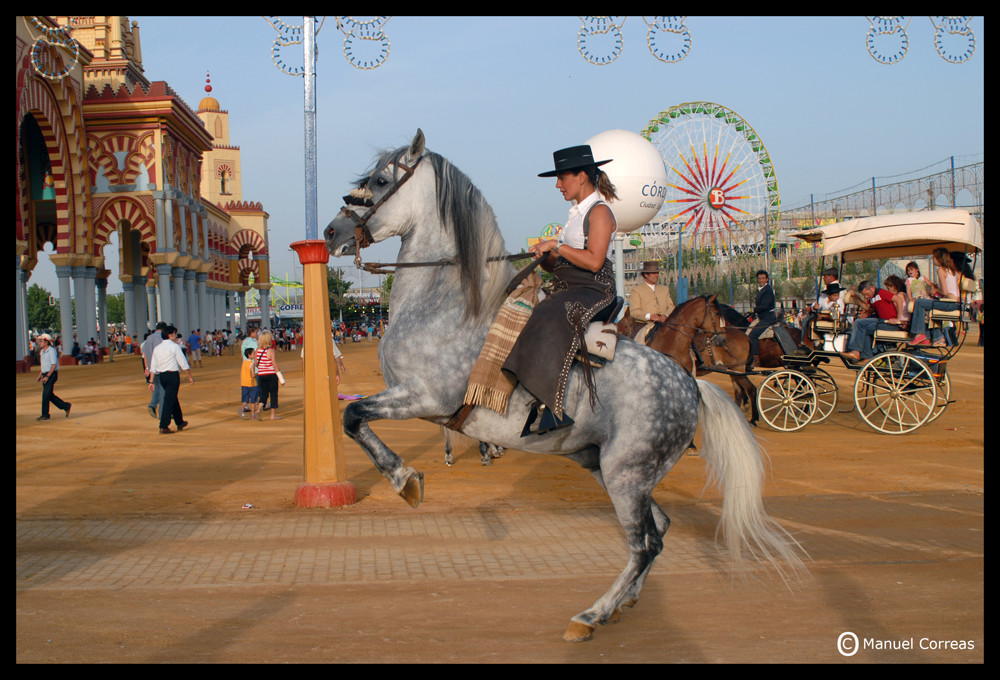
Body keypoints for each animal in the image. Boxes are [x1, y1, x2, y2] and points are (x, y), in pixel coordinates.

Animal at [328, 129, 804, 644]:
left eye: (380, 181)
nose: (332, 232)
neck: (446, 307)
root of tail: (690, 385)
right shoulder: (420, 401)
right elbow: (355, 418)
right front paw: (411, 475)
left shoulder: (425, 397)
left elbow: (352, 416)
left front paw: (405, 480)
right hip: (611, 467)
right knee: (658, 530)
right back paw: (624, 601)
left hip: (625, 474)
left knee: (644, 543)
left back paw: (592, 614)